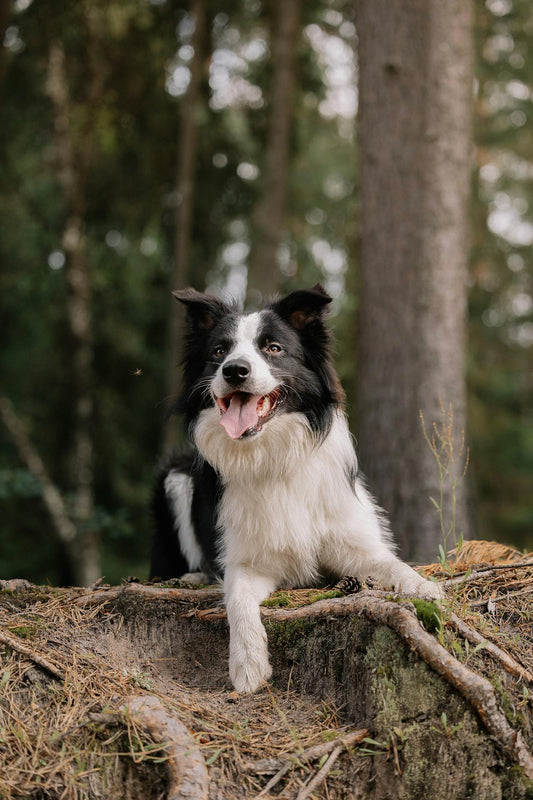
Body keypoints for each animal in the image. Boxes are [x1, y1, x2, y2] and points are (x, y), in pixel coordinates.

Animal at [150, 284, 440, 692]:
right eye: (219, 352)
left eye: (273, 348)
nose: (234, 370)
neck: (273, 457)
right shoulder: (247, 562)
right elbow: (238, 600)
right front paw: (248, 664)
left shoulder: (354, 545)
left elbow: (393, 565)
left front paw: (424, 587)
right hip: (173, 476)